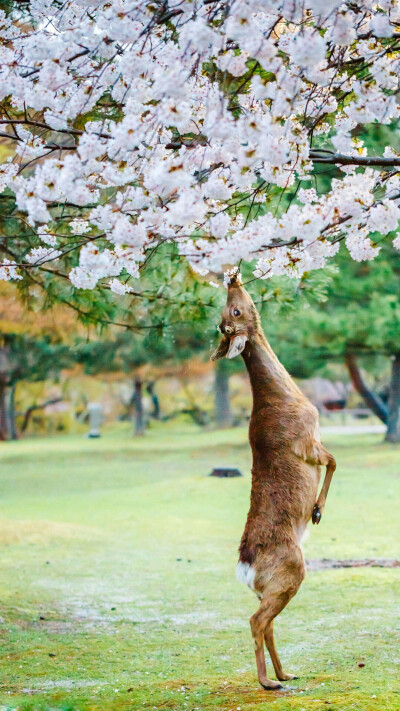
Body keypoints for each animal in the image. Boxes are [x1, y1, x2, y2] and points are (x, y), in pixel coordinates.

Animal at [211, 272, 336, 688]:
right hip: (291, 571)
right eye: (232, 312)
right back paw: (268, 681)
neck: (289, 397)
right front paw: (316, 511)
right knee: (257, 621)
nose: (231, 276)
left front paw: (316, 511)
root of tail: (246, 568)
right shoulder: (307, 443)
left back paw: (286, 672)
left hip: (268, 587)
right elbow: (334, 461)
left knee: (267, 624)